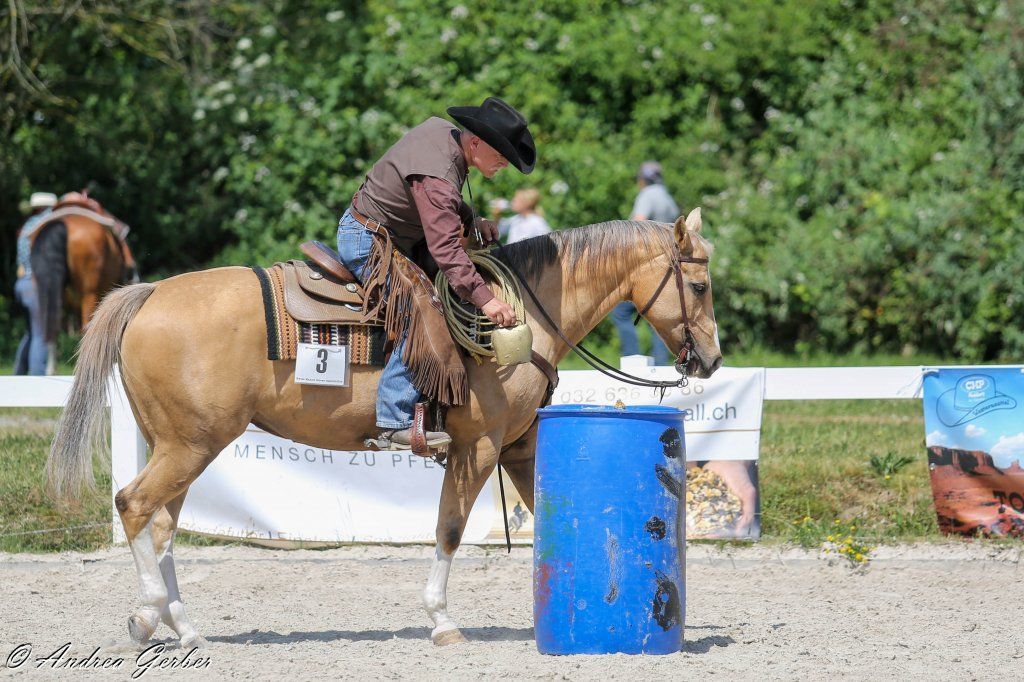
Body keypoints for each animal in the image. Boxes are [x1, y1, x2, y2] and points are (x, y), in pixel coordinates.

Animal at [46, 208, 721, 648]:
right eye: (699, 284)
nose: (711, 361)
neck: (526, 317)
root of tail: (150, 294)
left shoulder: (521, 448)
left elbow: (559, 516)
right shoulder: (476, 448)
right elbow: (449, 530)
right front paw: (442, 621)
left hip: (179, 445)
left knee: (160, 527)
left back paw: (180, 626)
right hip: (190, 445)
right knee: (136, 507)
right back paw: (149, 616)